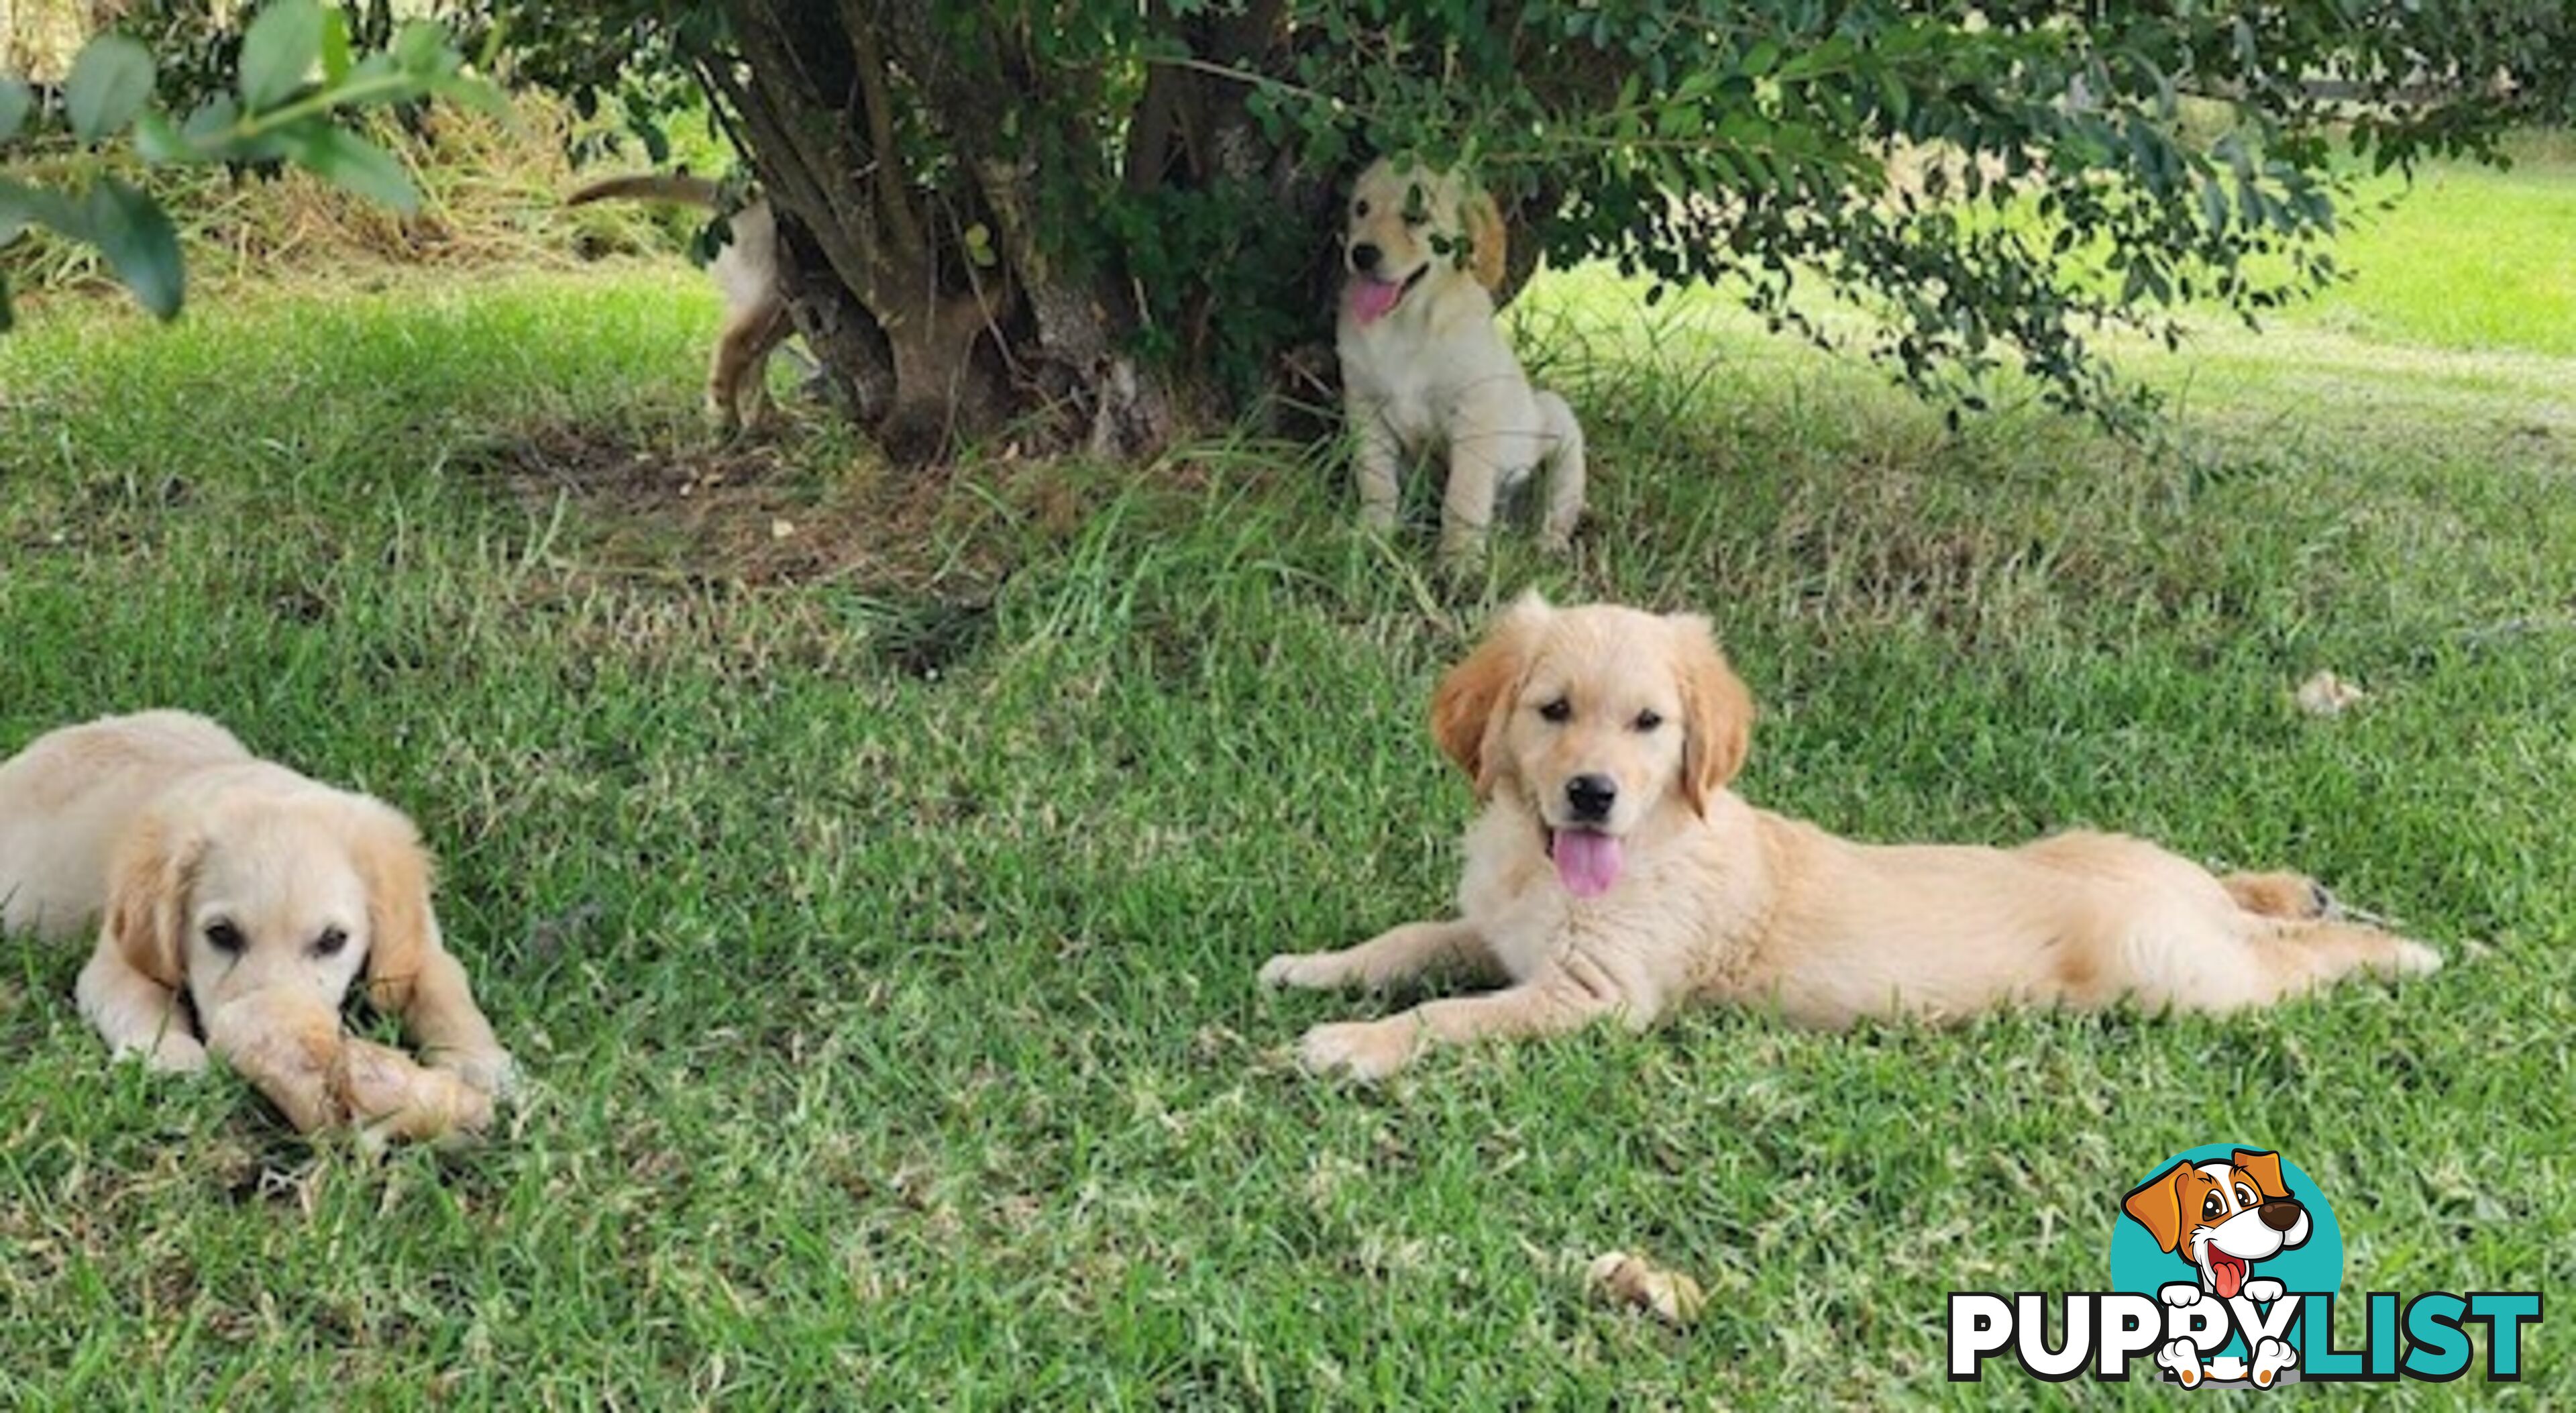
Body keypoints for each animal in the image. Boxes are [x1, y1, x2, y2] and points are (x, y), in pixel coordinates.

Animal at [0, 711, 513, 1145]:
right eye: (221, 934)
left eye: (333, 940)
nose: (267, 1024)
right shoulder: (116, 958)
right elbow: (137, 997)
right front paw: (172, 1058)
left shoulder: (421, 947)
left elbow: (447, 993)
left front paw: (482, 1066)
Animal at [569, 174, 788, 433]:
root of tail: (751, 200)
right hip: (767, 294)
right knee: (733, 349)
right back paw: (728, 419)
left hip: (780, 310)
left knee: (752, 358)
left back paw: (761, 416)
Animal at [1256, 590, 2442, 1078]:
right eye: (1553, 710)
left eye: (1649, 725)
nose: (1591, 793)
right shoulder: (1497, 933)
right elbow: (1409, 942)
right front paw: (1311, 967)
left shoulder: (1595, 992)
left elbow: (1451, 1014)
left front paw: (1355, 1045)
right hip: (2118, 855)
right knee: (2235, 888)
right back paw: (2292, 885)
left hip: (2178, 975)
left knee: (2296, 964)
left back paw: (2397, 945)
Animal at [1339, 158, 1576, 562]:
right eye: (1361, 208)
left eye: (1416, 215)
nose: (1361, 254)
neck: (1405, 325)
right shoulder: (1364, 406)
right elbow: (1377, 483)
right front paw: (1371, 537)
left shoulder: (1475, 412)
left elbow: (1465, 494)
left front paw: (1461, 559)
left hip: (1557, 419)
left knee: (1563, 503)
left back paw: (1549, 544)